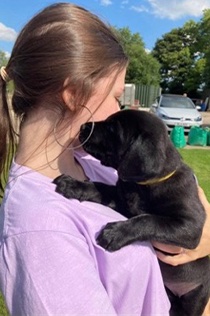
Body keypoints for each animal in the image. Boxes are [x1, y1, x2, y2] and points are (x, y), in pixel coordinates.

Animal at [53, 110, 210, 314]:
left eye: (112, 128)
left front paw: (115, 233)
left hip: (197, 296)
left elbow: (149, 219)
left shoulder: (191, 225)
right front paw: (73, 185)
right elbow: (99, 186)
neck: (142, 186)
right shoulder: (121, 201)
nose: (82, 127)